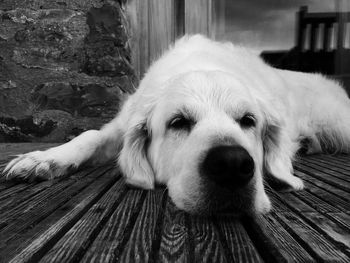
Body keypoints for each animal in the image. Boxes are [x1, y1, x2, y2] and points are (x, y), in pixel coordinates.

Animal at [2, 35, 350, 217]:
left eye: (248, 121)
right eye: (178, 122)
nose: (232, 165)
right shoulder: (123, 122)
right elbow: (88, 136)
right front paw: (43, 160)